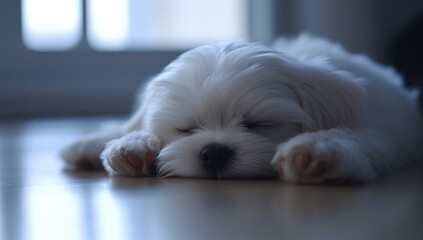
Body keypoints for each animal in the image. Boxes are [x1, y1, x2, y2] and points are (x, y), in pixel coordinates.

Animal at [61, 34, 422, 184]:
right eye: (185, 129)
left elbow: (352, 137)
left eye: (258, 124)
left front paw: (317, 150)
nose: (213, 152)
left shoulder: (380, 129)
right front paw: (133, 146)